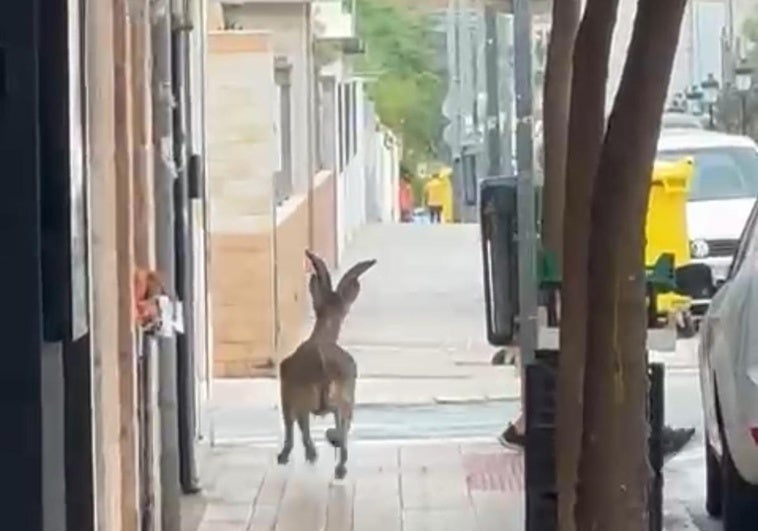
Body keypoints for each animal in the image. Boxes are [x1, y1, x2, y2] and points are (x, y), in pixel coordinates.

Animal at [276, 251, 378, 480]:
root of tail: (322, 366)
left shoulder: (287, 389)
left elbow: (292, 424)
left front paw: (290, 455)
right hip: (346, 395)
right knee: (343, 424)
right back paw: (339, 463)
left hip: (310, 395)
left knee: (307, 421)